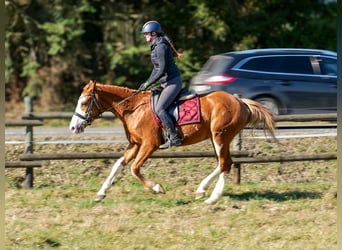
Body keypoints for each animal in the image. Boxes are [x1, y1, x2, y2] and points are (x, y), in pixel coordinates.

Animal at [69, 80, 276, 205]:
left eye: (84, 103)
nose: (73, 128)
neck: (133, 108)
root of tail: (240, 102)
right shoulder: (135, 145)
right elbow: (118, 165)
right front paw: (101, 193)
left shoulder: (149, 145)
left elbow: (134, 168)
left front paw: (157, 187)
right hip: (217, 138)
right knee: (224, 163)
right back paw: (202, 190)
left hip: (220, 136)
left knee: (225, 163)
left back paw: (211, 198)